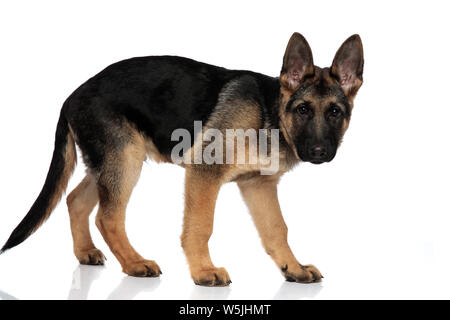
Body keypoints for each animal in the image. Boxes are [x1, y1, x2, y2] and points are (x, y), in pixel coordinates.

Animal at [0, 33, 364, 286]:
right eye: (303, 110)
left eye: (335, 112)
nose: (319, 153)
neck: (270, 112)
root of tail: (71, 96)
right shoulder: (204, 173)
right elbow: (200, 226)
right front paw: (203, 271)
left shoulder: (258, 185)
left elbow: (277, 228)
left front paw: (294, 268)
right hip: (125, 162)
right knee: (107, 216)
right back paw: (134, 263)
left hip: (110, 161)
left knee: (76, 200)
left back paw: (86, 252)